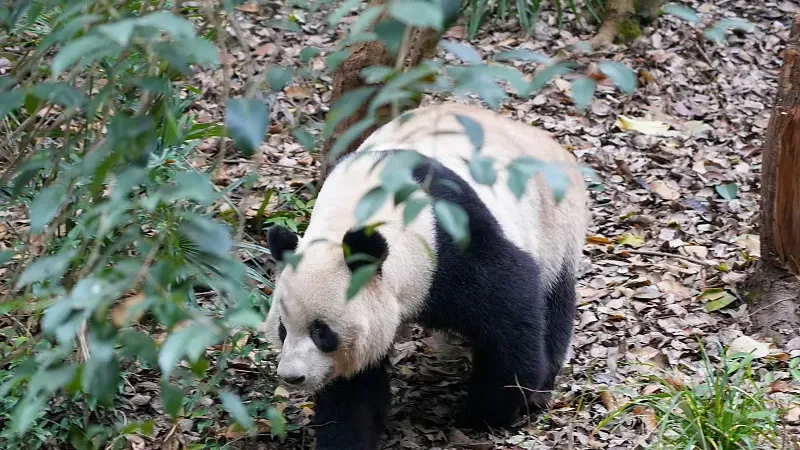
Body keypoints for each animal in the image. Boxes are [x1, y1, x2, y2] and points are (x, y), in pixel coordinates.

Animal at [261, 103, 589, 450]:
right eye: (282, 328)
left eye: (321, 331)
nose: (292, 376)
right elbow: (354, 384)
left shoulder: (456, 240)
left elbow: (510, 318)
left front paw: (492, 411)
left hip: (555, 226)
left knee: (555, 302)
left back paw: (540, 389)